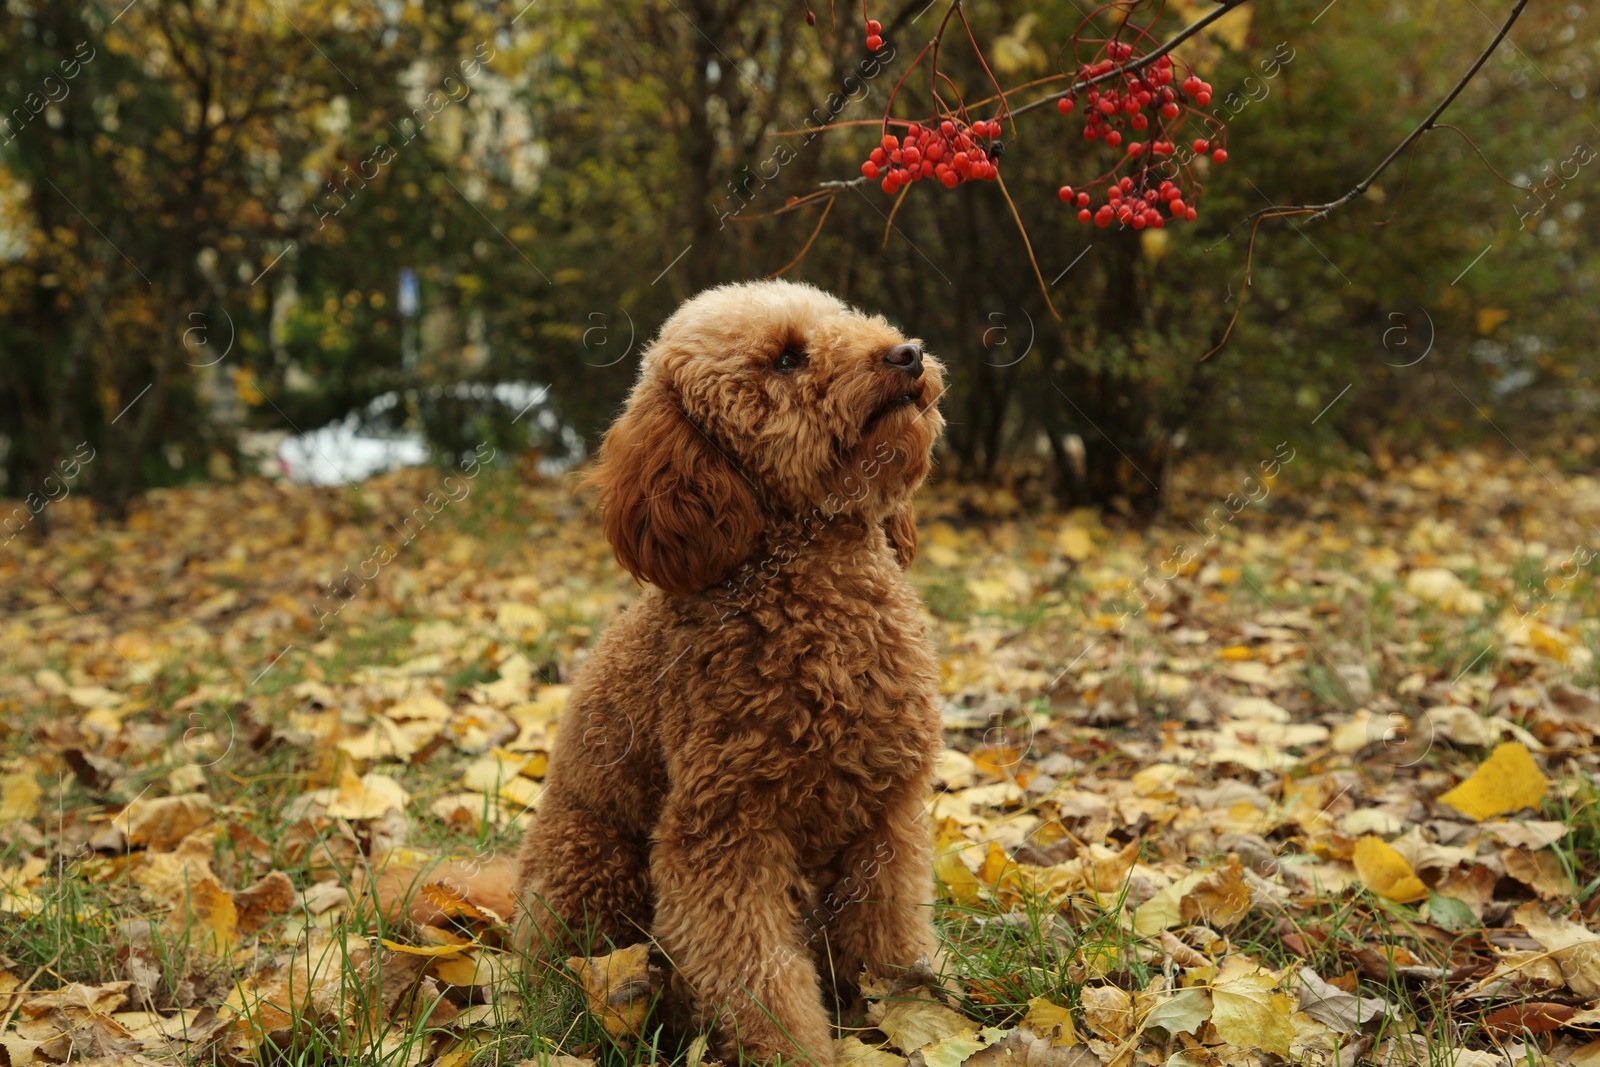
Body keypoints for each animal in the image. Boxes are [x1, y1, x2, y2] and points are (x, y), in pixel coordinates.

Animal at [518, 279, 940, 1062]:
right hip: (591, 863)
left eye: (845, 319)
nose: (907, 354)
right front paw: (803, 1051)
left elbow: (889, 939)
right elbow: (758, 981)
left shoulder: (885, 818)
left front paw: (911, 1021)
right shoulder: (723, 837)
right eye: (786, 358)